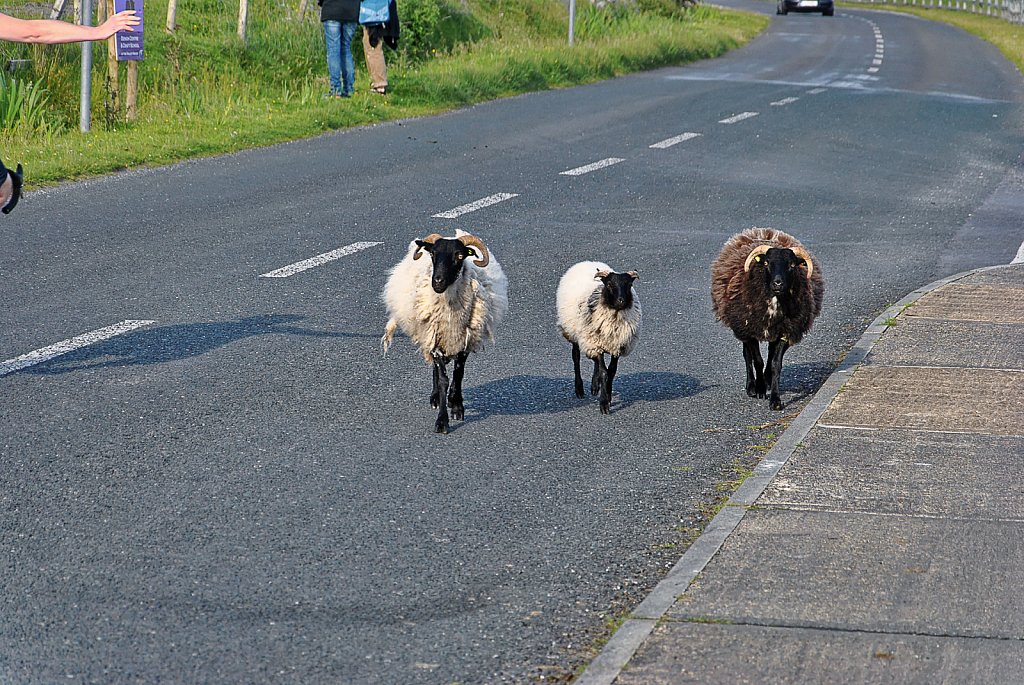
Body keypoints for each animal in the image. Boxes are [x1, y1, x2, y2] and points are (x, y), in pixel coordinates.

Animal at [380, 229, 507, 432]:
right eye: (433, 254)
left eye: (459, 255)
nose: (437, 282)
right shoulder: (435, 339)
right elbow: (442, 379)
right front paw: (441, 420)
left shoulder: (465, 340)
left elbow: (458, 374)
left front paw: (456, 406)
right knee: (435, 368)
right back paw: (435, 398)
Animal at [561, 260, 638, 411]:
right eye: (609, 284)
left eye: (629, 284)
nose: (621, 300)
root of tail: (588, 262)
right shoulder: (595, 342)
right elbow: (604, 372)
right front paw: (604, 403)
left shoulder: (617, 345)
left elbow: (611, 371)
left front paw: (607, 395)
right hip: (576, 334)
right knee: (576, 357)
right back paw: (579, 389)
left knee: (596, 362)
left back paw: (595, 385)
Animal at [712, 227, 823, 409]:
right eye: (766, 263)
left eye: (792, 265)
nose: (778, 283)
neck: (774, 303)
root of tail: (763, 231)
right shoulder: (749, 330)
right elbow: (757, 360)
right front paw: (759, 389)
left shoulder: (786, 332)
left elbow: (775, 364)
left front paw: (775, 399)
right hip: (742, 327)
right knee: (747, 355)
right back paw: (751, 385)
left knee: (770, 355)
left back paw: (767, 380)